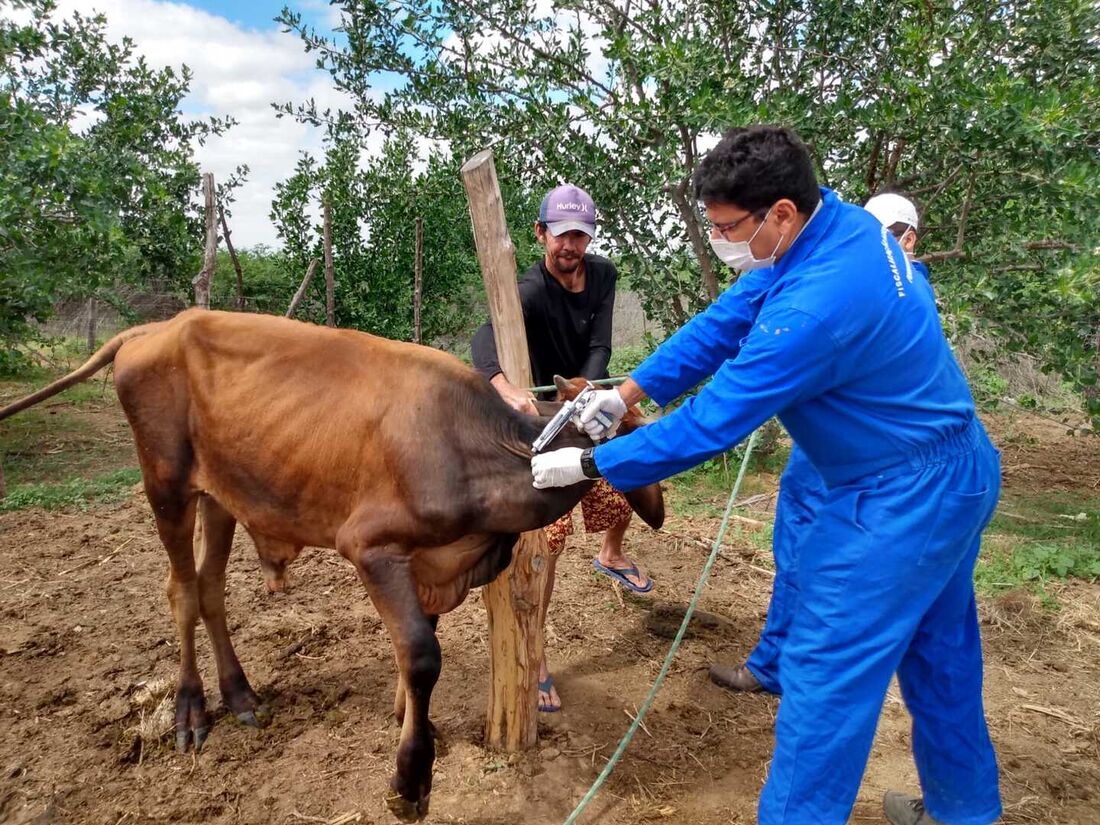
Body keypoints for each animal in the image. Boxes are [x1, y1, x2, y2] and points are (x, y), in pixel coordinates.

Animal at [0, 310, 660, 822]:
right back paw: (191, 709)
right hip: (165, 485)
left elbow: (416, 651)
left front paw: (416, 728)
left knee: (211, 587)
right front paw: (410, 781)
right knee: (182, 589)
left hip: (222, 494)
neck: (480, 451)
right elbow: (422, 655)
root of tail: (158, 328)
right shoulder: (371, 547)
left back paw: (240, 695)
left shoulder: (430, 566)